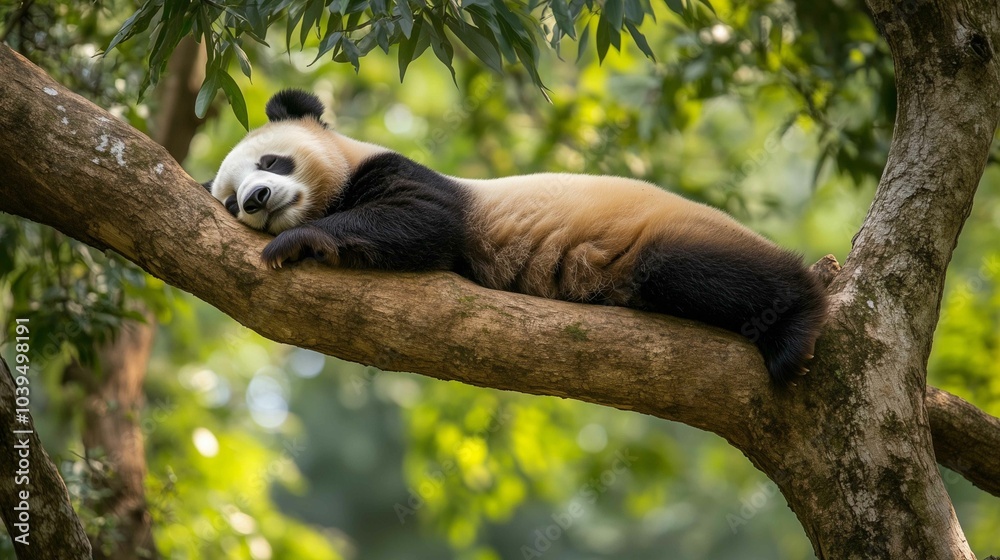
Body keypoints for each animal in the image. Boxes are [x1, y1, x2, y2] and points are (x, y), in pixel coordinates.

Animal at [204, 89, 828, 384]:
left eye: (272, 161)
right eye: (230, 201)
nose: (256, 200)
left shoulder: (401, 171)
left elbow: (423, 220)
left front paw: (296, 240)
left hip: (663, 233)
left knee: (704, 269)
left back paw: (794, 329)